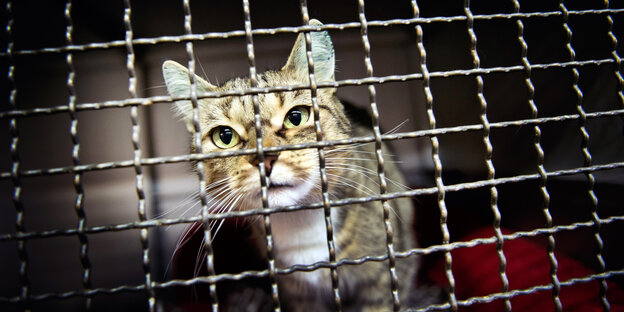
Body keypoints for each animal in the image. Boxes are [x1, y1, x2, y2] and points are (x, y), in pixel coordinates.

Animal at [162, 18, 434, 312]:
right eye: (225, 136)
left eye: (296, 117)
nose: (265, 158)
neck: (301, 226)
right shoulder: (299, 296)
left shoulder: (383, 283)